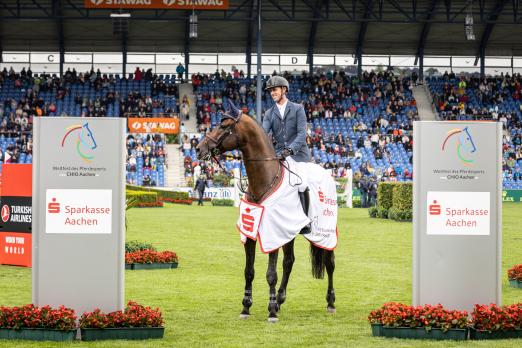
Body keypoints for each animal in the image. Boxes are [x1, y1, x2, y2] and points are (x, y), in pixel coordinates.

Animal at [195, 104, 334, 324]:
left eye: (224, 126)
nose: (199, 149)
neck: (264, 180)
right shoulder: (251, 233)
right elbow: (249, 271)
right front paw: (246, 307)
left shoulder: (272, 234)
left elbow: (270, 274)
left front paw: (271, 311)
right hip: (289, 233)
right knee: (289, 262)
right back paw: (280, 299)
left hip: (325, 233)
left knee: (329, 263)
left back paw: (330, 302)